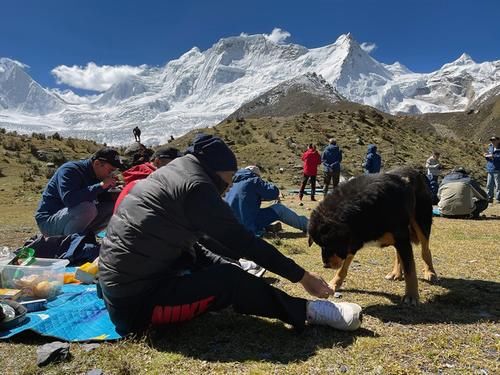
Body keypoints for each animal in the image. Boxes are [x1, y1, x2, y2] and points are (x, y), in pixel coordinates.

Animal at [308, 167, 438, 306]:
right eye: (320, 245)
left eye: (330, 244)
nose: (325, 265)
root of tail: (415, 170)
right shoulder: (354, 240)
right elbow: (342, 267)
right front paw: (334, 283)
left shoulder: (400, 238)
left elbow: (410, 270)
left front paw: (411, 295)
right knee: (399, 254)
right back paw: (396, 273)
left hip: (420, 222)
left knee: (425, 249)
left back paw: (430, 272)